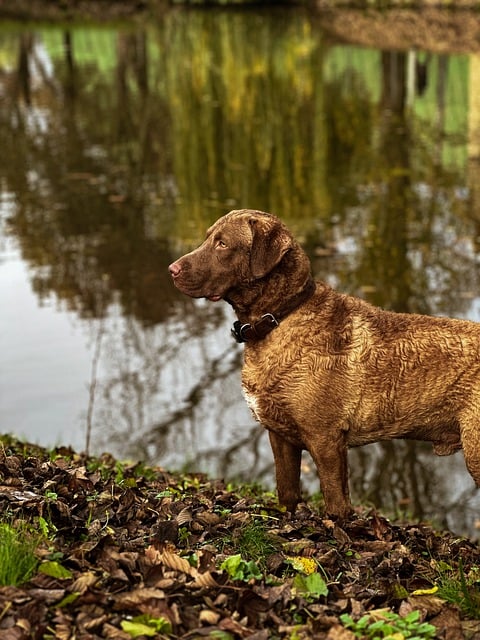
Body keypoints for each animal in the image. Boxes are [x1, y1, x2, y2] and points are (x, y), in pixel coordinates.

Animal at [169, 210, 480, 520]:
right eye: (208, 237)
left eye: (222, 244)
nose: (172, 269)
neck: (280, 318)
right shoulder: (280, 436)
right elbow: (287, 492)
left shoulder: (326, 440)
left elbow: (336, 504)